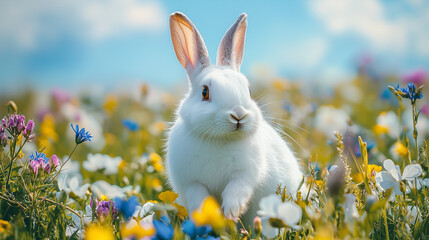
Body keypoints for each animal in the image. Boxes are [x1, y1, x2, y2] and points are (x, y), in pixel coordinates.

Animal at [166, 11, 302, 225]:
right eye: (205, 92)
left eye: (249, 90)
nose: (238, 115)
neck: (219, 139)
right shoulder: (191, 182)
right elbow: (199, 196)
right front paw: (207, 216)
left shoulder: (244, 175)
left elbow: (236, 190)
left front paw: (231, 212)